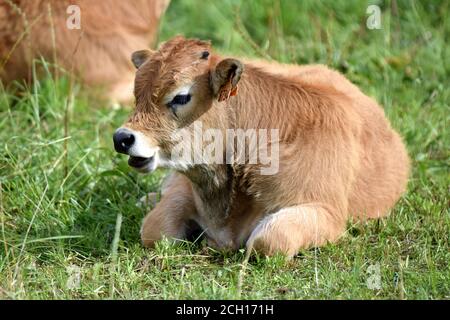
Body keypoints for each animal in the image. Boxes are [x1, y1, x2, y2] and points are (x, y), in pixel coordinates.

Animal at [113, 36, 412, 258]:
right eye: (136, 95)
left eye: (182, 96)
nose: (122, 138)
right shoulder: (187, 185)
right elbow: (154, 229)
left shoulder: (327, 211)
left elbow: (268, 242)